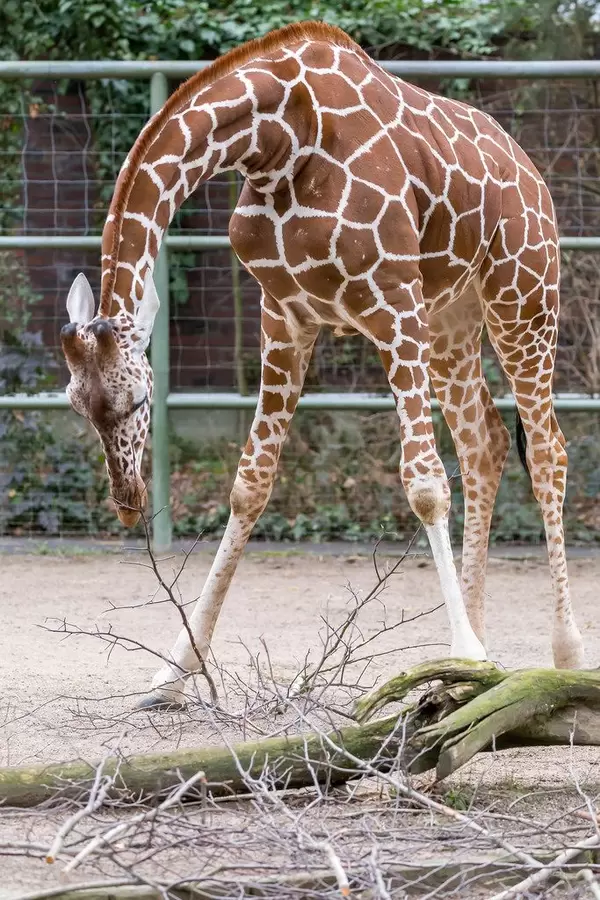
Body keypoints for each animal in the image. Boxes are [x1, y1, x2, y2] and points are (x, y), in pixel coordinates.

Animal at [60, 21, 585, 706]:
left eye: (139, 399)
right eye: (77, 405)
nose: (127, 501)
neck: (277, 142)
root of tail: (529, 169)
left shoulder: (393, 304)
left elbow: (424, 485)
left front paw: (468, 651)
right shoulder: (284, 315)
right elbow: (250, 485)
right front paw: (172, 672)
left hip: (522, 296)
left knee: (547, 451)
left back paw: (562, 653)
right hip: (452, 319)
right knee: (486, 443)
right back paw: (475, 658)